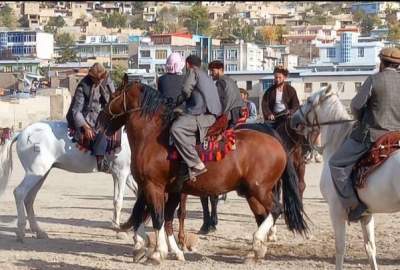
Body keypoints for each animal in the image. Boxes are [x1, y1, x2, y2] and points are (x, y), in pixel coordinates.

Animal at [0, 121, 138, 242]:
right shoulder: (121, 173)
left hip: (41, 174)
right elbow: (118, 201)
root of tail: (22, 133)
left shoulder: (125, 175)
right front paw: (118, 230)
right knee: (19, 193)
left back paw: (38, 231)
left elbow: (135, 195)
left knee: (29, 199)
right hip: (35, 172)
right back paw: (21, 232)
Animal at [98, 80, 308, 264]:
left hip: (260, 190)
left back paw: (257, 242)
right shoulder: (165, 189)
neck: (153, 136)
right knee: (263, 215)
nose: (101, 118)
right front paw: (155, 247)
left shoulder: (153, 186)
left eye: (114, 96)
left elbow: (156, 217)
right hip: (252, 193)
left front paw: (157, 252)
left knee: (276, 210)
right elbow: (156, 217)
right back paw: (256, 250)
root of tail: (277, 142)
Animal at [290, 84, 400, 270]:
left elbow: (340, 248)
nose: (294, 119)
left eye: (310, 101)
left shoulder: (336, 212)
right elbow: (370, 248)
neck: (337, 142)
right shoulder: (367, 214)